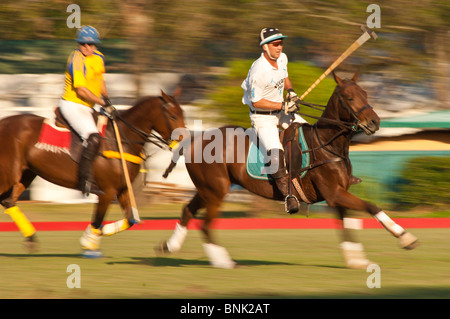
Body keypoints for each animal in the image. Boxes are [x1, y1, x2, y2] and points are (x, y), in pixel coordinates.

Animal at [0, 91, 185, 256]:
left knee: (8, 201)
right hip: (8, 174)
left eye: (183, 113)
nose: (183, 143)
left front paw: (102, 232)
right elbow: (98, 219)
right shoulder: (107, 191)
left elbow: (131, 220)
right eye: (173, 116)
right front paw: (89, 243)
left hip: (26, 174)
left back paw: (31, 239)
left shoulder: (122, 189)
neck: (122, 139)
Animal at [157, 73, 418, 270]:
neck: (327, 144)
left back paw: (169, 246)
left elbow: (346, 226)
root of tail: (191, 141)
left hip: (207, 189)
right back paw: (223, 261)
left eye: (365, 93)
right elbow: (371, 206)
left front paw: (357, 259)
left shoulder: (337, 194)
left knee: (187, 210)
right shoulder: (334, 193)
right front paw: (405, 237)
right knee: (206, 224)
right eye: (349, 97)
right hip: (216, 190)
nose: (374, 122)